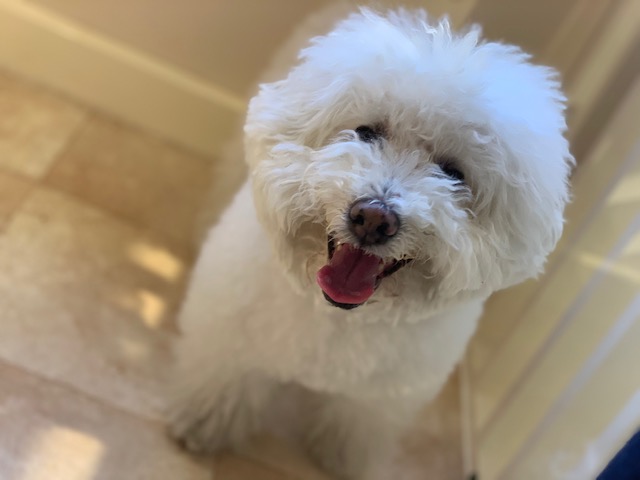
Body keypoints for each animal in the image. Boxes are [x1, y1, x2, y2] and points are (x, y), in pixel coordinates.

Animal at [168, 8, 573, 479]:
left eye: (453, 174)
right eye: (365, 132)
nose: (374, 218)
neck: (341, 315)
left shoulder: (384, 397)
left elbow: (357, 423)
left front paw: (342, 458)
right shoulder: (230, 339)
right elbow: (222, 381)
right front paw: (203, 425)